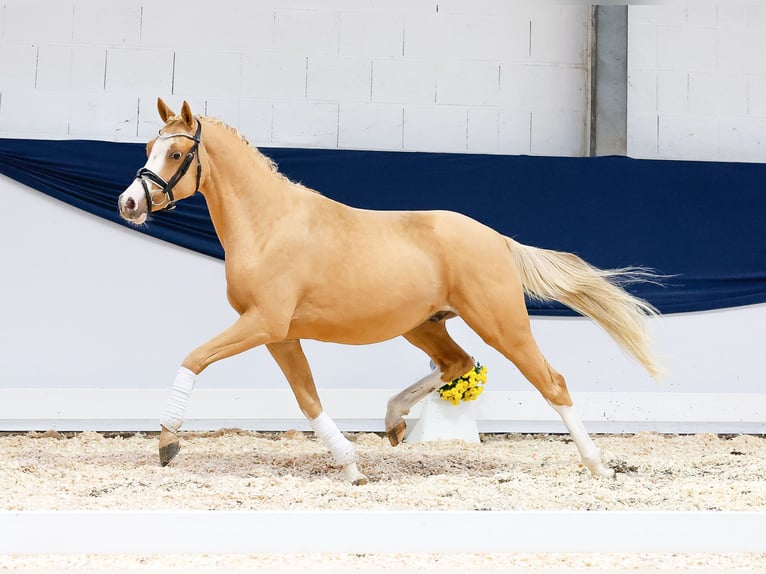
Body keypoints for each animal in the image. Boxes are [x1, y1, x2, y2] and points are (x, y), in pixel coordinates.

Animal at [117, 99, 664, 486]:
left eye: (176, 152)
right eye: (147, 147)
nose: (128, 203)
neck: (269, 225)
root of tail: (496, 239)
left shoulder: (262, 324)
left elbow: (194, 358)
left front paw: (167, 442)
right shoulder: (279, 334)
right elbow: (308, 399)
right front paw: (352, 467)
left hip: (501, 323)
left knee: (552, 382)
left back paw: (598, 466)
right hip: (424, 326)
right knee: (457, 363)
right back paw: (395, 421)